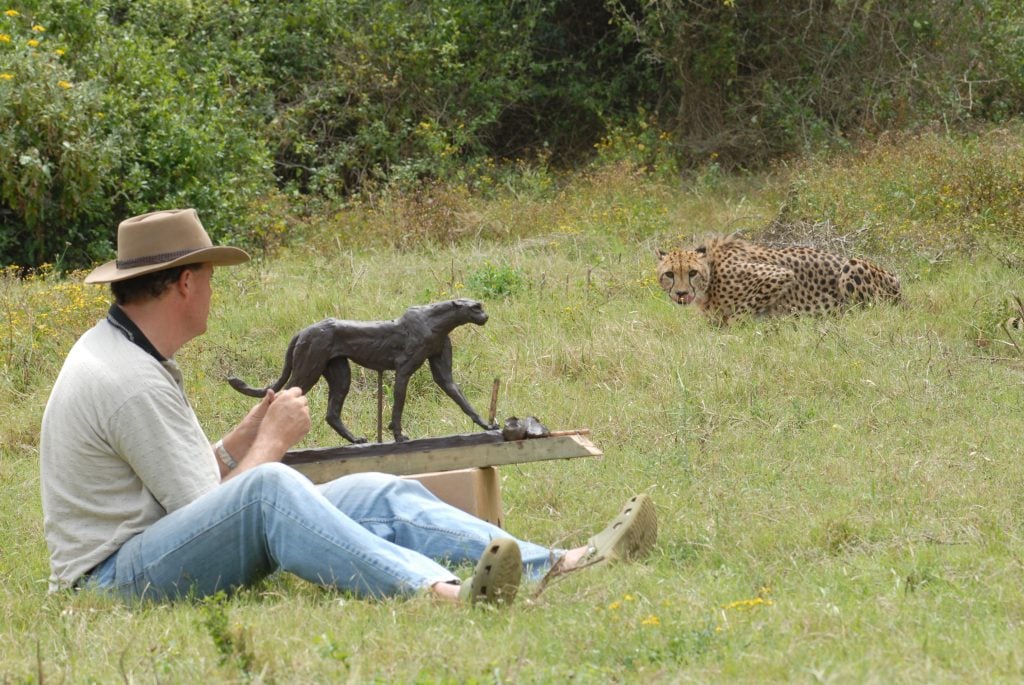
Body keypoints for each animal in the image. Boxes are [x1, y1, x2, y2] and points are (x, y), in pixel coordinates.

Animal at [651, 236, 901, 325]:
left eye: (692, 273)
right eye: (669, 274)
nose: (681, 293)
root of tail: (896, 279)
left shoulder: (778, 275)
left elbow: (741, 314)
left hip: (852, 266)